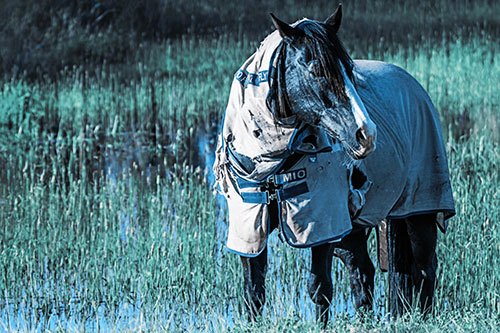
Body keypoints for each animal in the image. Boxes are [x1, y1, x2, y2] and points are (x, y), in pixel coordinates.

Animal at [213, 3, 456, 326]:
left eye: (350, 70)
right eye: (317, 70)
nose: (366, 135)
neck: (274, 162)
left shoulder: (322, 226)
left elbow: (319, 288)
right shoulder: (251, 227)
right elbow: (254, 293)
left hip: (419, 212)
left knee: (425, 268)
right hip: (353, 230)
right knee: (362, 271)